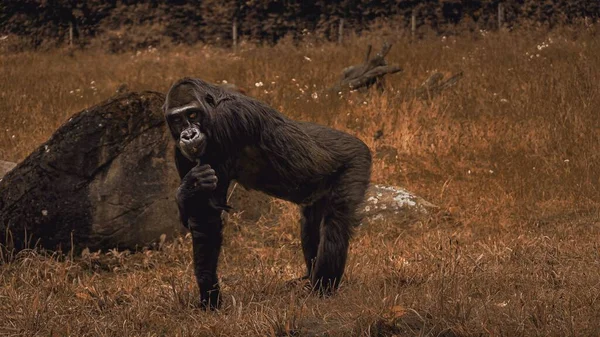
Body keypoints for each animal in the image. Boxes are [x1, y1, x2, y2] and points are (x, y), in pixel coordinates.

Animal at [164, 77, 370, 308]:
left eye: (192, 114)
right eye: (177, 119)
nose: (189, 134)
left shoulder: (228, 121)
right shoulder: (179, 151)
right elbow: (204, 217)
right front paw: (209, 296)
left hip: (357, 161)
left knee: (336, 222)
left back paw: (322, 290)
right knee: (311, 222)